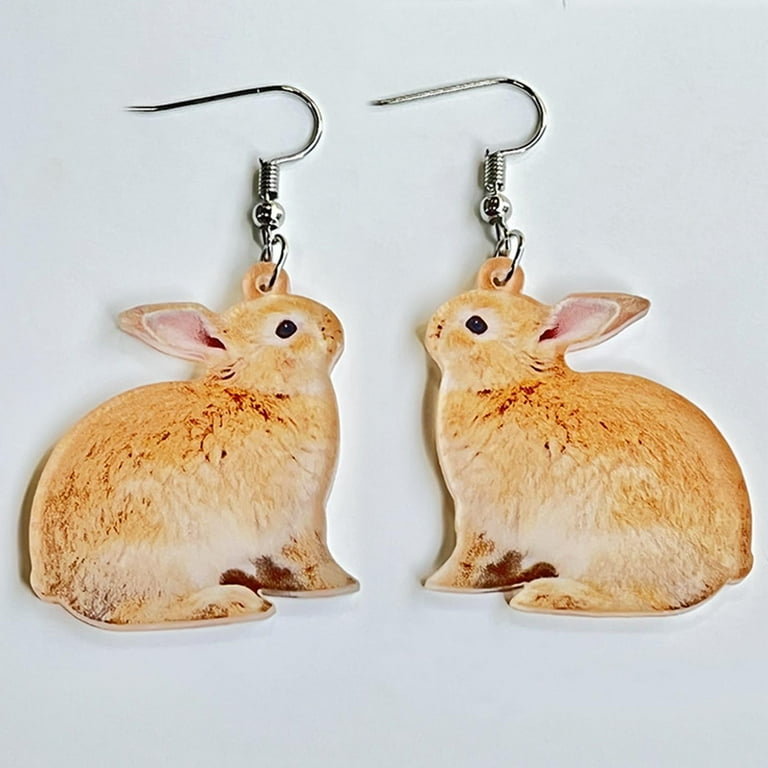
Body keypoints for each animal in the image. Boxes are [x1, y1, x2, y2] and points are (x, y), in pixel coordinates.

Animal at [29, 263, 358, 629]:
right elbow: (310, 558)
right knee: (140, 611)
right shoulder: (299, 520)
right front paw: (336, 583)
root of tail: (55, 588)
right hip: (166, 559)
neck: (265, 390)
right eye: (286, 328)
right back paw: (234, 602)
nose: (335, 327)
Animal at [424, 257, 752, 614]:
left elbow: (472, 555)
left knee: (632, 598)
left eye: (476, 324)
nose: (431, 327)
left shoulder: (483, 513)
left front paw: (442, 582)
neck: (511, 384)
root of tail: (734, 565)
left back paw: (544, 595)